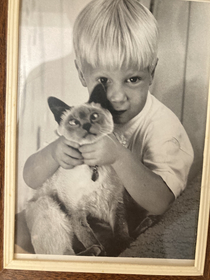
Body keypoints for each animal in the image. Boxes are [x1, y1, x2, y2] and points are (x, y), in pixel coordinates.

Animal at [25, 85, 132, 256]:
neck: (94, 168)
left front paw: (122, 246)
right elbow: (88, 236)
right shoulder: (76, 212)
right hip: (51, 206)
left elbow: (121, 230)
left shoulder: (115, 203)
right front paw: (107, 252)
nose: (86, 126)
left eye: (94, 116)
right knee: (66, 253)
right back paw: (96, 252)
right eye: (74, 122)